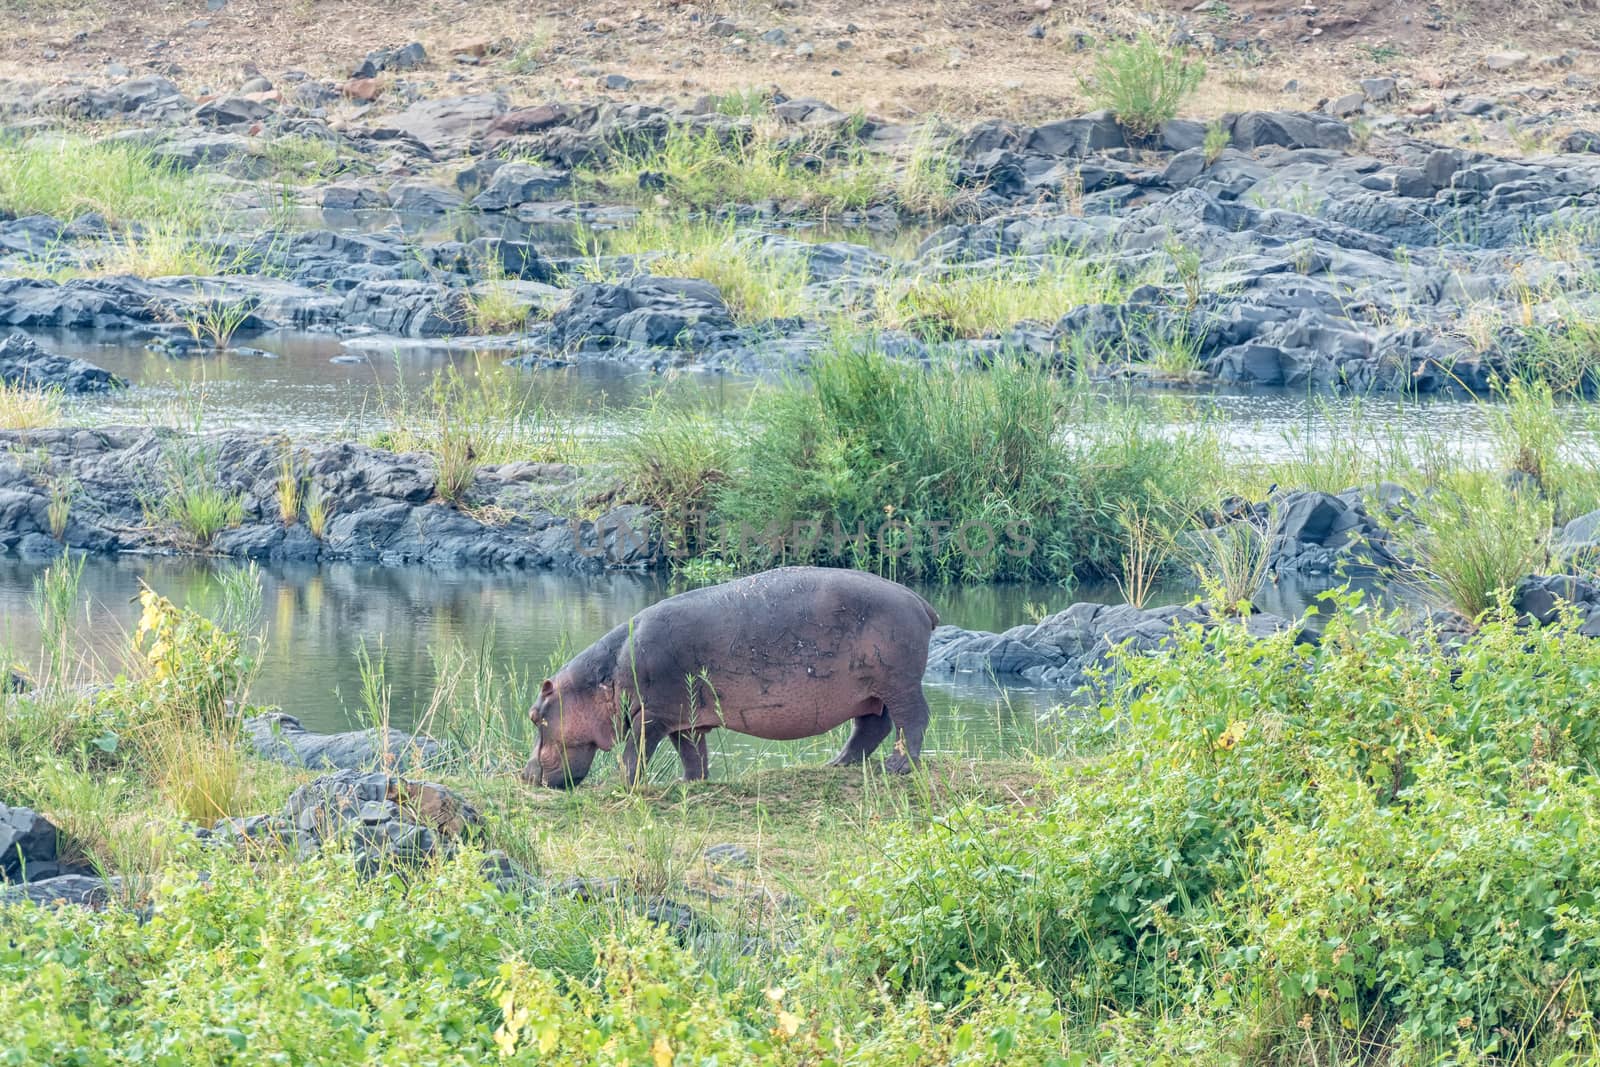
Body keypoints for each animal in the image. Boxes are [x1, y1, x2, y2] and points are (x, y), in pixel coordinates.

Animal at [524, 566, 940, 783]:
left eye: (535, 716)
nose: (526, 775)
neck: (601, 679)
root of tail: (919, 600)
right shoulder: (684, 719)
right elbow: (692, 753)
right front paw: (690, 783)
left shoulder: (650, 715)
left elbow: (634, 753)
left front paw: (623, 784)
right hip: (870, 691)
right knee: (872, 726)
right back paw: (837, 764)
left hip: (898, 682)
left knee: (913, 719)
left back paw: (899, 767)